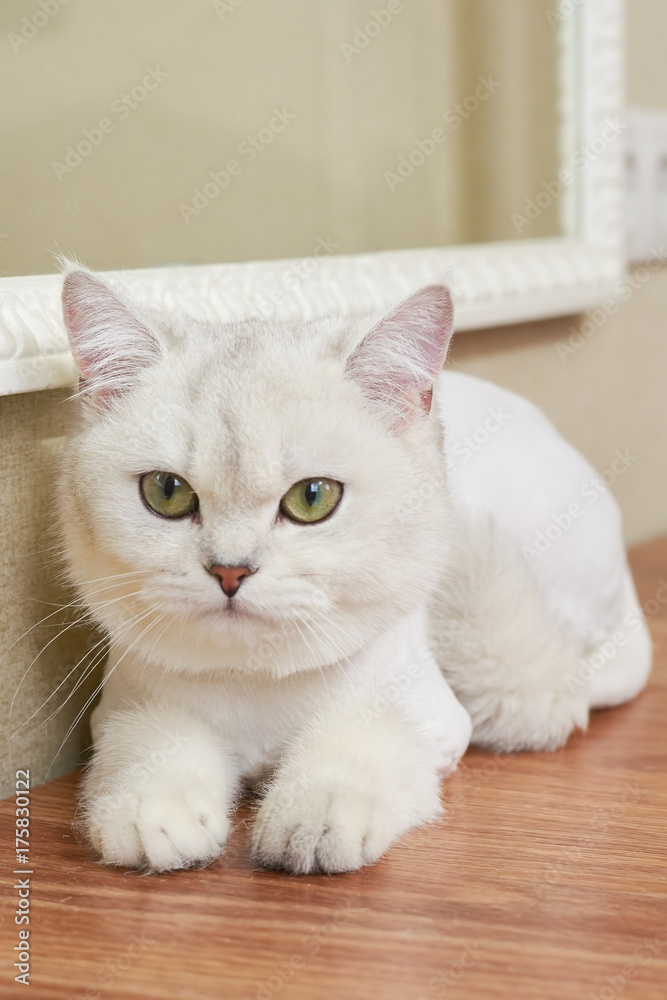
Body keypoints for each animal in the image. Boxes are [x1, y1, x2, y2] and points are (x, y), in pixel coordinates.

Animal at [57, 270, 652, 872]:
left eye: (313, 498)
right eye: (167, 492)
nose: (229, 572)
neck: (257, 685)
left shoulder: (433, 723)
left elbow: (364, 739)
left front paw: (315, 814)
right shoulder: (123, 710)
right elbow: (154, 743)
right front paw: (154, 810)